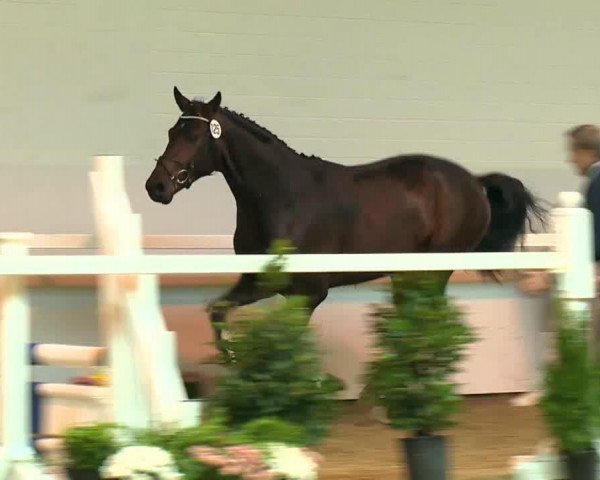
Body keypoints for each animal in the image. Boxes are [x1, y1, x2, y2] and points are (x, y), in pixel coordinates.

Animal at [144, 88, 544, 340]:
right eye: (171, 131)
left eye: (195, 136)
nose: (156, 187)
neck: (281, 198)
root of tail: (474, 182)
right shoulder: (256, 282)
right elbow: (217, 312)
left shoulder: (308, 293)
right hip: (407, 274)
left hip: (433, 271)